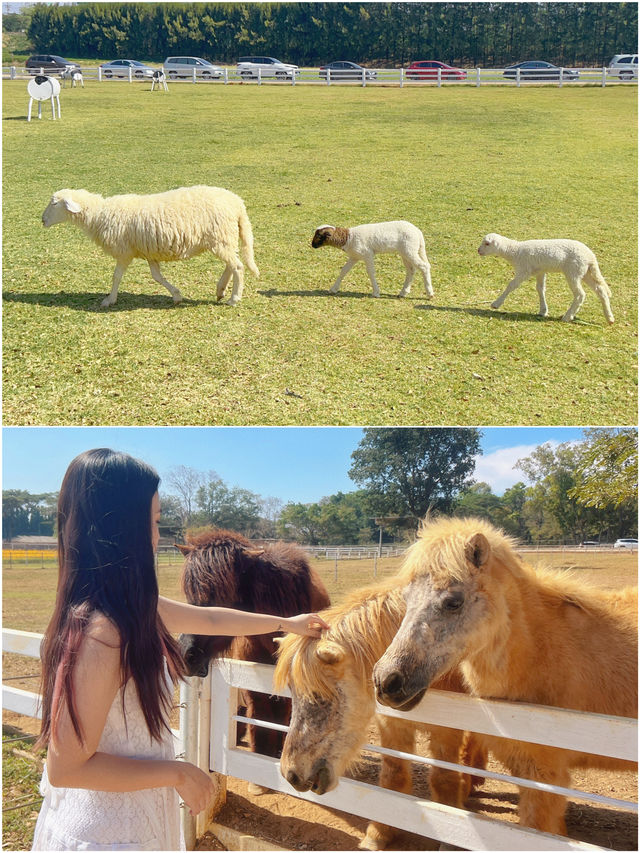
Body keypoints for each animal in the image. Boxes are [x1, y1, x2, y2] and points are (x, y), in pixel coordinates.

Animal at [42, 185, 260, 308]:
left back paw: (234, 298)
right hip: (223, 239)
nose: (42, 220)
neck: (100, 214)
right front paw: (176, 295)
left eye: (54, 204)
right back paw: (220, 290)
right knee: (232, 265)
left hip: (220, 238)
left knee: (238, 266)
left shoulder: (124, 252)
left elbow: (116, 276)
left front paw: (109, 300)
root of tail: (238, 203)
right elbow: (157, 277)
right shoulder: (149, 253)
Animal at [274, 576, 484, 848]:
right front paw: (378, 835)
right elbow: (392, 778)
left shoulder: (447, 730)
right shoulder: (390, 724)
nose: (290, 774)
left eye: (318, 697)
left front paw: (450, 839)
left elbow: (444, 779)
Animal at [478, 233, 612, 322]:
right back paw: (609, 318)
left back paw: (568, 316)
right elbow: (540, 289)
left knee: (580, 294)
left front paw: (496, 304)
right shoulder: (540, 271)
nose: (478, 251)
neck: (515, 252)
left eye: (487, 243)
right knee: (601, 290)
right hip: (585, 272)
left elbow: (511, 285)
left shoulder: (524, 270)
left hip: (573, 271)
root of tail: (591, 256)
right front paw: (543, 310)